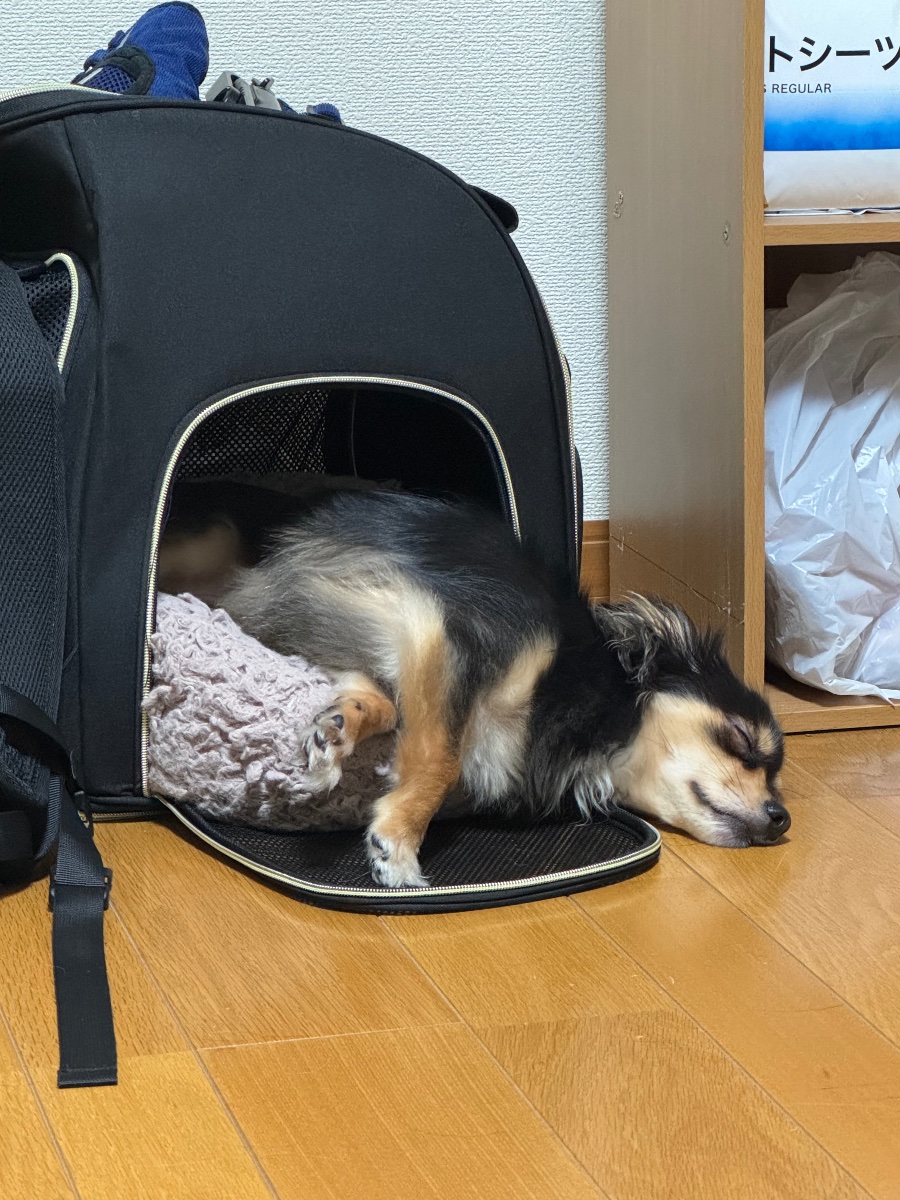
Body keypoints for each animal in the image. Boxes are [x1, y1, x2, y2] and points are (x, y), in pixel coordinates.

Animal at [157, 484, 789, 887]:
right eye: (742, 740)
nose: (781, 818)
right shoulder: (438, 625)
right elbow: (443, 758)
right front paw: (398, 844)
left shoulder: (395, 639)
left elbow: (387, 706)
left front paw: (337, 727)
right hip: (212, 538)